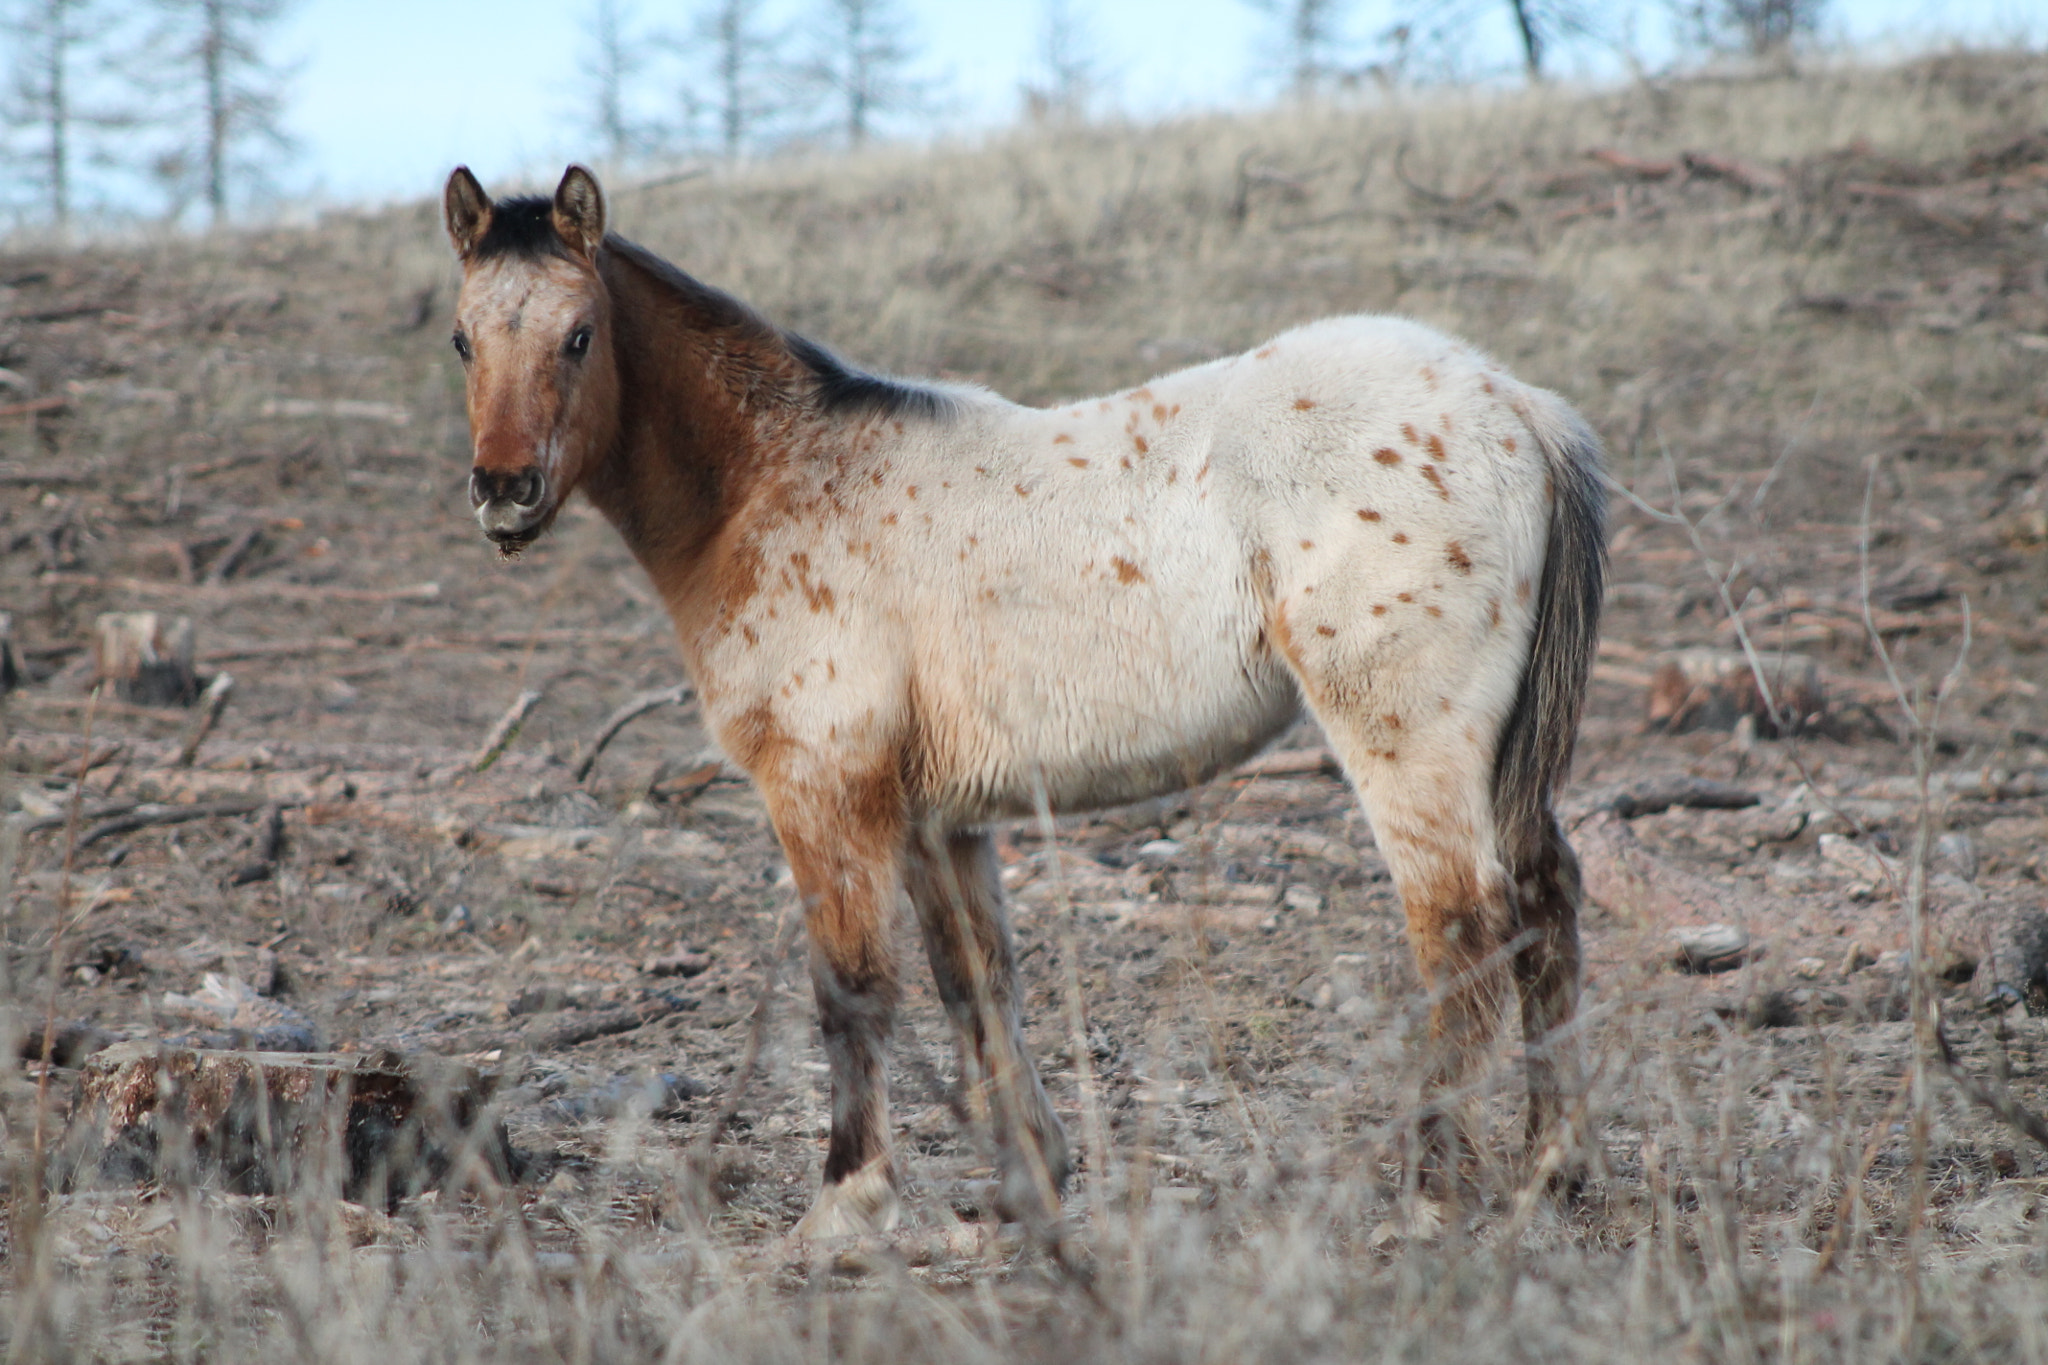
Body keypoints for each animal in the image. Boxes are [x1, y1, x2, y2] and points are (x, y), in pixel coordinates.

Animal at [448, 162, 1613, 1236]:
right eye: (461, 340)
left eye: (579, 335)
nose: (502, 493)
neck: (773, 481)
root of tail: (1516, 403)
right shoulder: (938, 817)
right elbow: (976, 979)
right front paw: (1027, 1182)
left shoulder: (825, 790)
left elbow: (850, 987)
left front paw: (845, 1204)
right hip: (1494, 756)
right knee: (1544, 899)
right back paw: (1548, 1169)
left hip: (1404, 740)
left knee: (1461, 929)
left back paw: (1430, 1197)